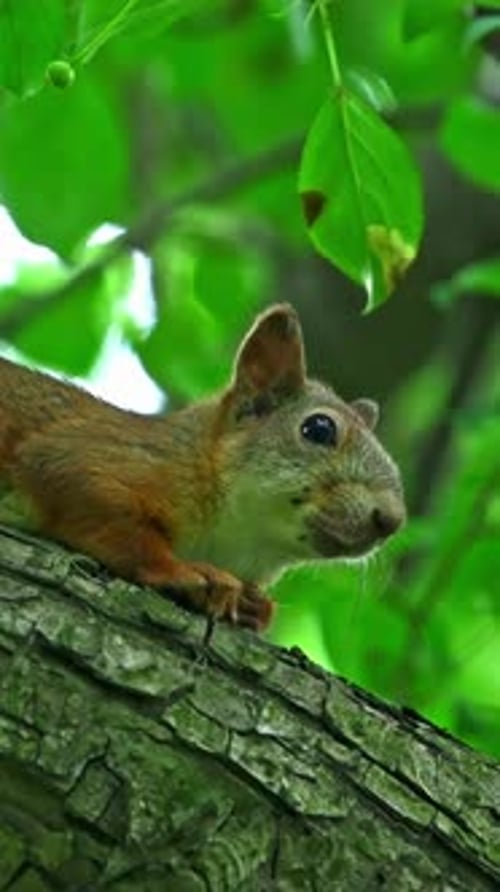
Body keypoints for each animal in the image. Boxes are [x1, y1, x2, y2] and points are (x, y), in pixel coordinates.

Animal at [0, 304, 405, 631]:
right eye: (319, 428)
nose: (392, 519)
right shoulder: (98, 455)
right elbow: (102, 508)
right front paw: (188, 572)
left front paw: (256, 604)